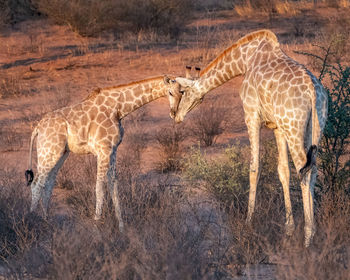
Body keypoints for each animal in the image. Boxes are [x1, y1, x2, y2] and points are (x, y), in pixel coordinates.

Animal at [24, 75, 183, 232]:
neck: (119, 109)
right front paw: (96, 226)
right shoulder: (103, 150)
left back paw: (47, 222)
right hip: (49, 151)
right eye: (170, 92)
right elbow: (99, 187)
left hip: (60, 153)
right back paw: (32, 221)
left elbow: (113, 185)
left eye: (182, 92)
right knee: (37, 184)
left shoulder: (112, 150)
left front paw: (121, 227)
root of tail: (37, 128)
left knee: (48, 184)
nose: (174, 113)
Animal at [172, 29, 328, 246]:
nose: (176, 115)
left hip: (294, 128)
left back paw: (308, 238)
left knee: (304, 171)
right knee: (312, 170)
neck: (245, 60)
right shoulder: (278, 126)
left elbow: (254, 168)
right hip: (314, 128)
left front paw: (248, 223)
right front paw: (288, 228)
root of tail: (314, 93)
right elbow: (283, 171)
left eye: (183, 91)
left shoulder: (251, 114)